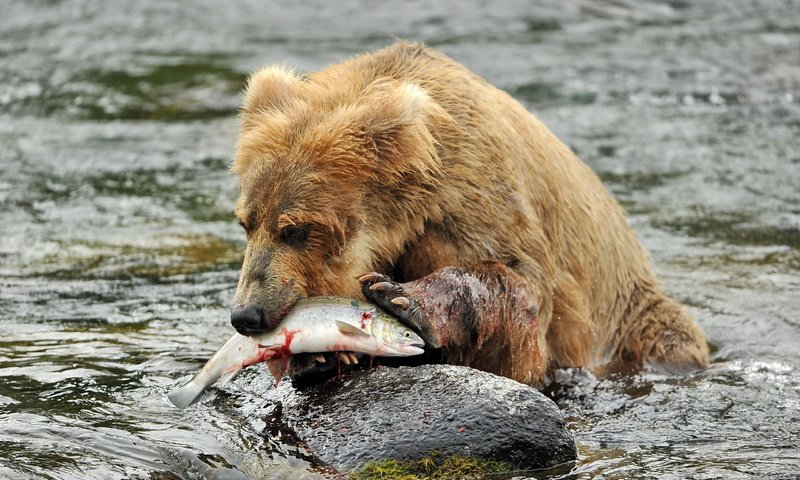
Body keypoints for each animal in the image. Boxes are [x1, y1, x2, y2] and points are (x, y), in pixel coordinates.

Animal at [228, 40, 708, 386]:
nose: (247, 315)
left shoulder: (475, 195)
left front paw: (401, 296)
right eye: (247, 223)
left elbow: (521, 291)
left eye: (296, 229)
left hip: (633, 317)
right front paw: (319, 354)